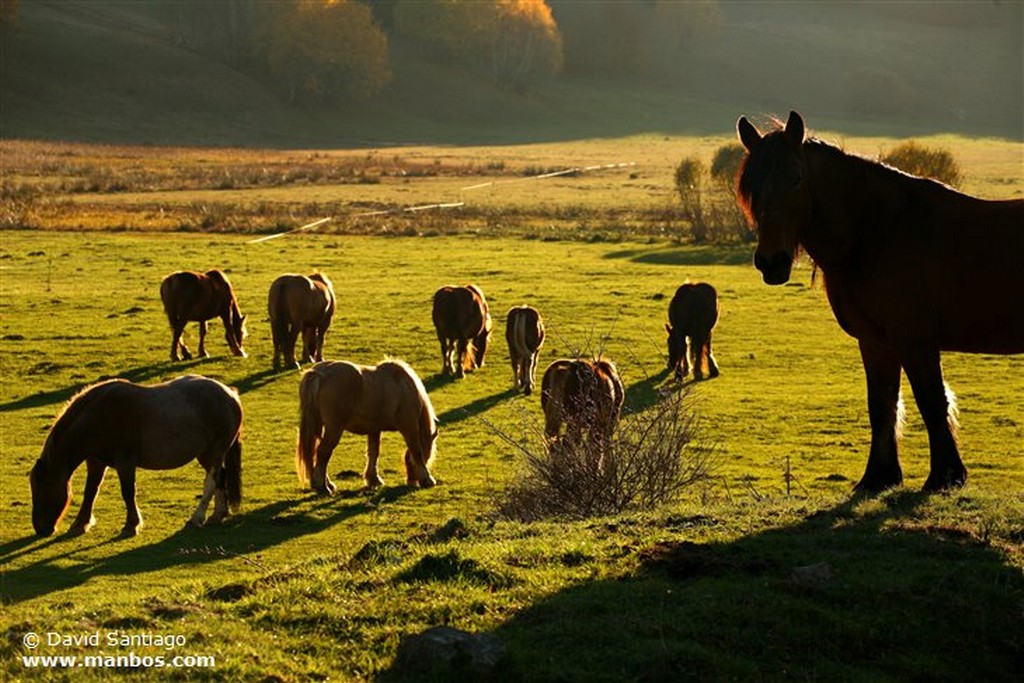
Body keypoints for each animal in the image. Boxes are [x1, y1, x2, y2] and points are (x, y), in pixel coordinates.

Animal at [29, 374, 242, 540]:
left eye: (41, 489)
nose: (40, 529)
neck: (98, 415)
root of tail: (230, 394)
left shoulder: (125, 462)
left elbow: (128, 492)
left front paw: (131, 525)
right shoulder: (96, 462)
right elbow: (91, 491)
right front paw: (80, 524)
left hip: (215, 450)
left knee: (211, 481)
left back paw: (196, 518)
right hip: (205, 454)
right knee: (220, 477)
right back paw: (218, 514)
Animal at [296, 358, 440, 497]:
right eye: (428, 455)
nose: (412, 481)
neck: (404, 385)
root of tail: (319, 373)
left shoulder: (374, 430)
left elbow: (373, 453)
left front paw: (373, 479)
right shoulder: (409, 427)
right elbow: (416, 452)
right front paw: (428, 479)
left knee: (314, 453)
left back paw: (325, 484)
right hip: (334, 428)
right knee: (323, 452)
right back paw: (322, 487)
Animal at [737, 111, 1024, 491]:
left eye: (796, 179)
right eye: (750, 185)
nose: (772, 261)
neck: (878, 231)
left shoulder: (914, 339)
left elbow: (931, 401)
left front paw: (945, 476)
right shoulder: (875, 341)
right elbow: (881, 404)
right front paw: (879, 476)